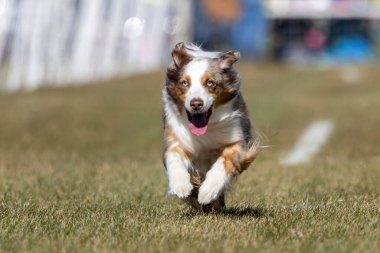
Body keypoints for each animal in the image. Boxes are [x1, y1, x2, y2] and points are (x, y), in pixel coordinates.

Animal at [162, 42, 260, 212]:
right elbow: (174, 157)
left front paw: (208, 191)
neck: (205, 131)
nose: (196, 104)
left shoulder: (237, 140)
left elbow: (225, 162)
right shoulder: (176, 140)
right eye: (184, 83)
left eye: (210, 83)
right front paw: (181, 186)